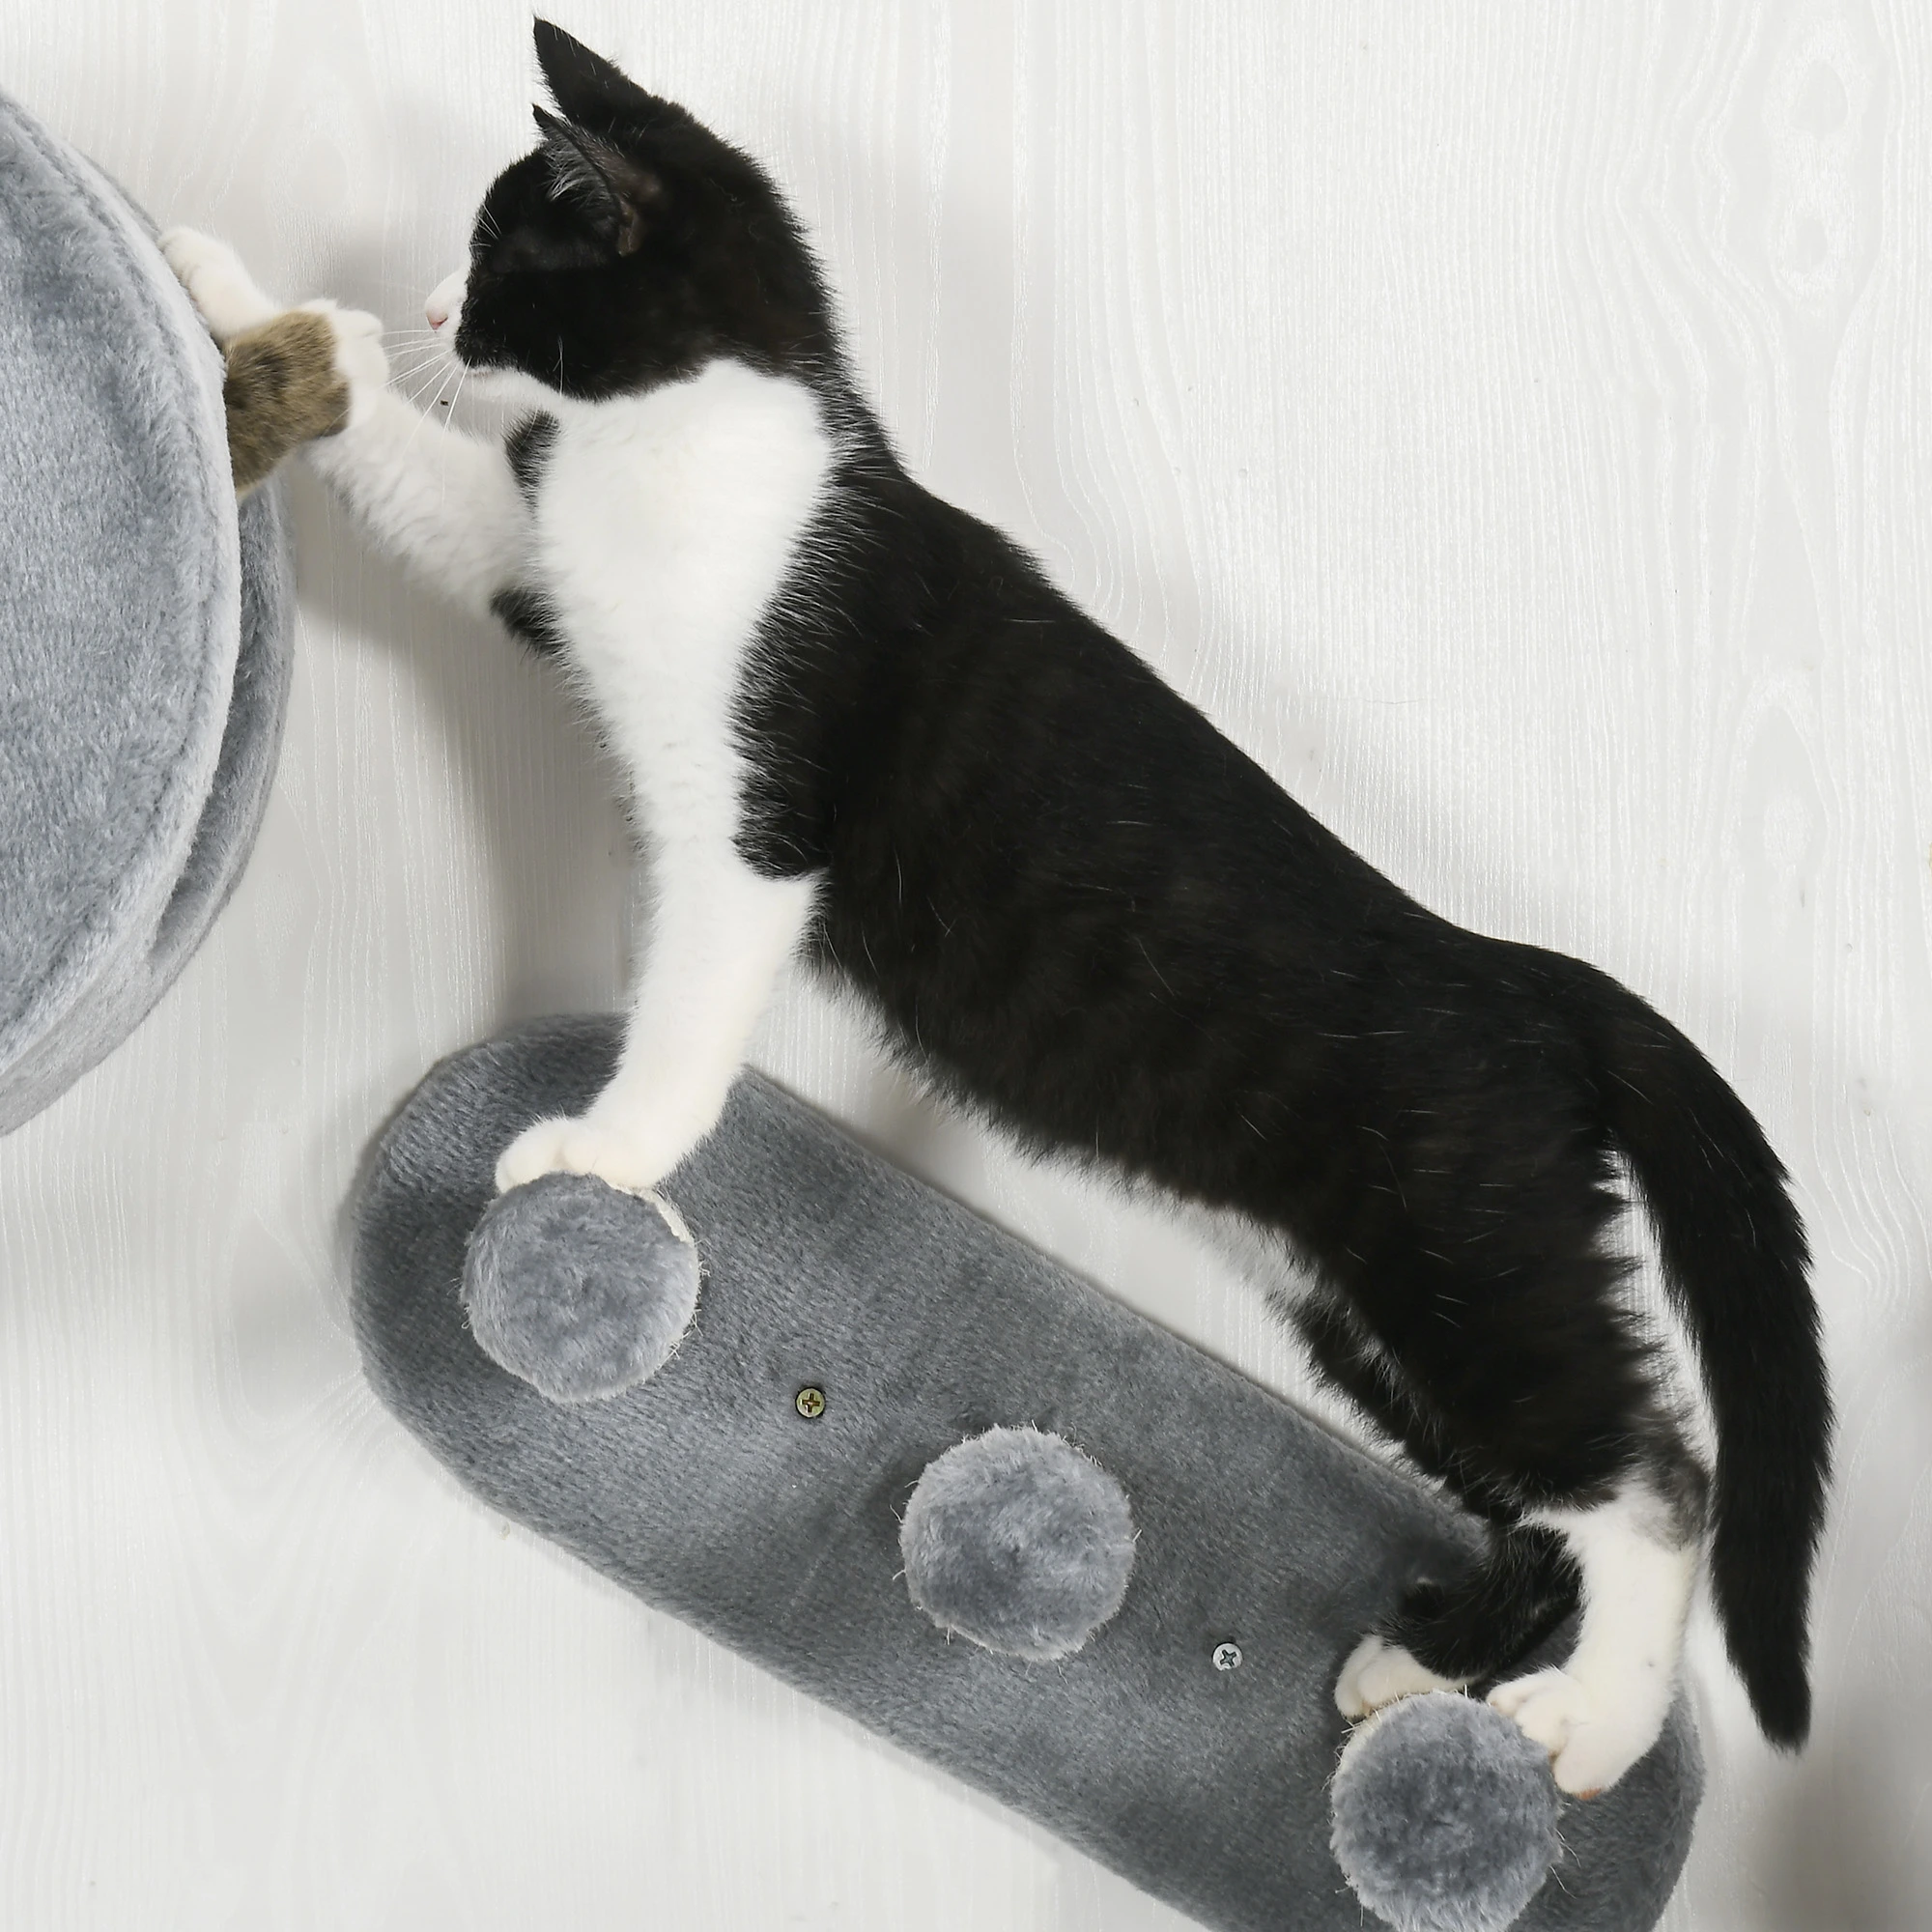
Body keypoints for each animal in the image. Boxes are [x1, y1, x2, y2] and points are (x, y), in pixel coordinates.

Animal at [155, 18, 1824, 1793]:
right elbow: (431, 481)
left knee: (1653, 1482)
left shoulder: (758, 817)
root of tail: (1522, 976)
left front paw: (607, 1154)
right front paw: (238, 297)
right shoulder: (550, 564)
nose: (420, 313)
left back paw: (1593, 1724)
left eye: (495, 263)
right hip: (1364, 1306)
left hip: (1470, 1266)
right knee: (1543, 1497)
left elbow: (692, 999)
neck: (703, 449)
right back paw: (1426, 1676)